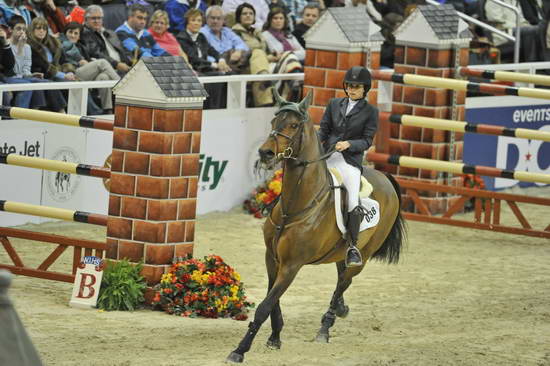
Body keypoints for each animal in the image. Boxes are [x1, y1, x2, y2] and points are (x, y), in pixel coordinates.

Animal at [226, 91, 408, 364]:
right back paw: (341, 309)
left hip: (363, 256)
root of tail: (385, 178)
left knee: (344, 281)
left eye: (293, 125)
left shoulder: (292, 265)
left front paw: (240, 350)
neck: (296, 206)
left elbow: (265, 306)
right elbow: (273, 300)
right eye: (273, 122)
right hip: (341, 252)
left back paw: (326, 327)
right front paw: (275, 337)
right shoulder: (272, 258)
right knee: (341, 278)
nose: (265, 153)